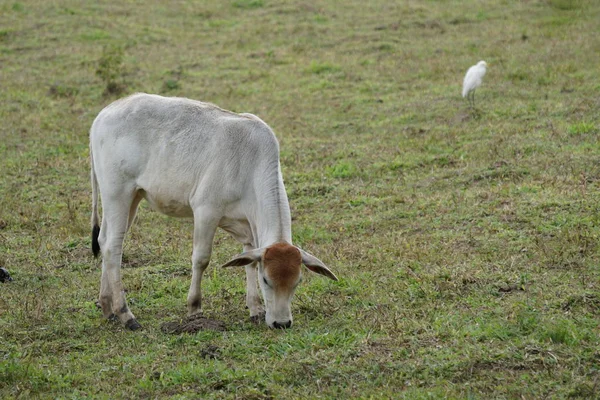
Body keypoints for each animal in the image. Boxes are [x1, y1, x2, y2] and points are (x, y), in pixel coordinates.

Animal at [89, 92, 338, 330]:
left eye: (297, 282)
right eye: (266, 280)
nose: (282, 323)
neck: (250, 166)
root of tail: (104, 113)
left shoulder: (249, 226)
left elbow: (249, 260)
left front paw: (256, 309)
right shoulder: (205, 211)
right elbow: (201, 259)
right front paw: (194, 307)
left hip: (132, 198)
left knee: (104, 240)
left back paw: (107, 306)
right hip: (117, 194)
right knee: (113, 248)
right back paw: (125, 314)